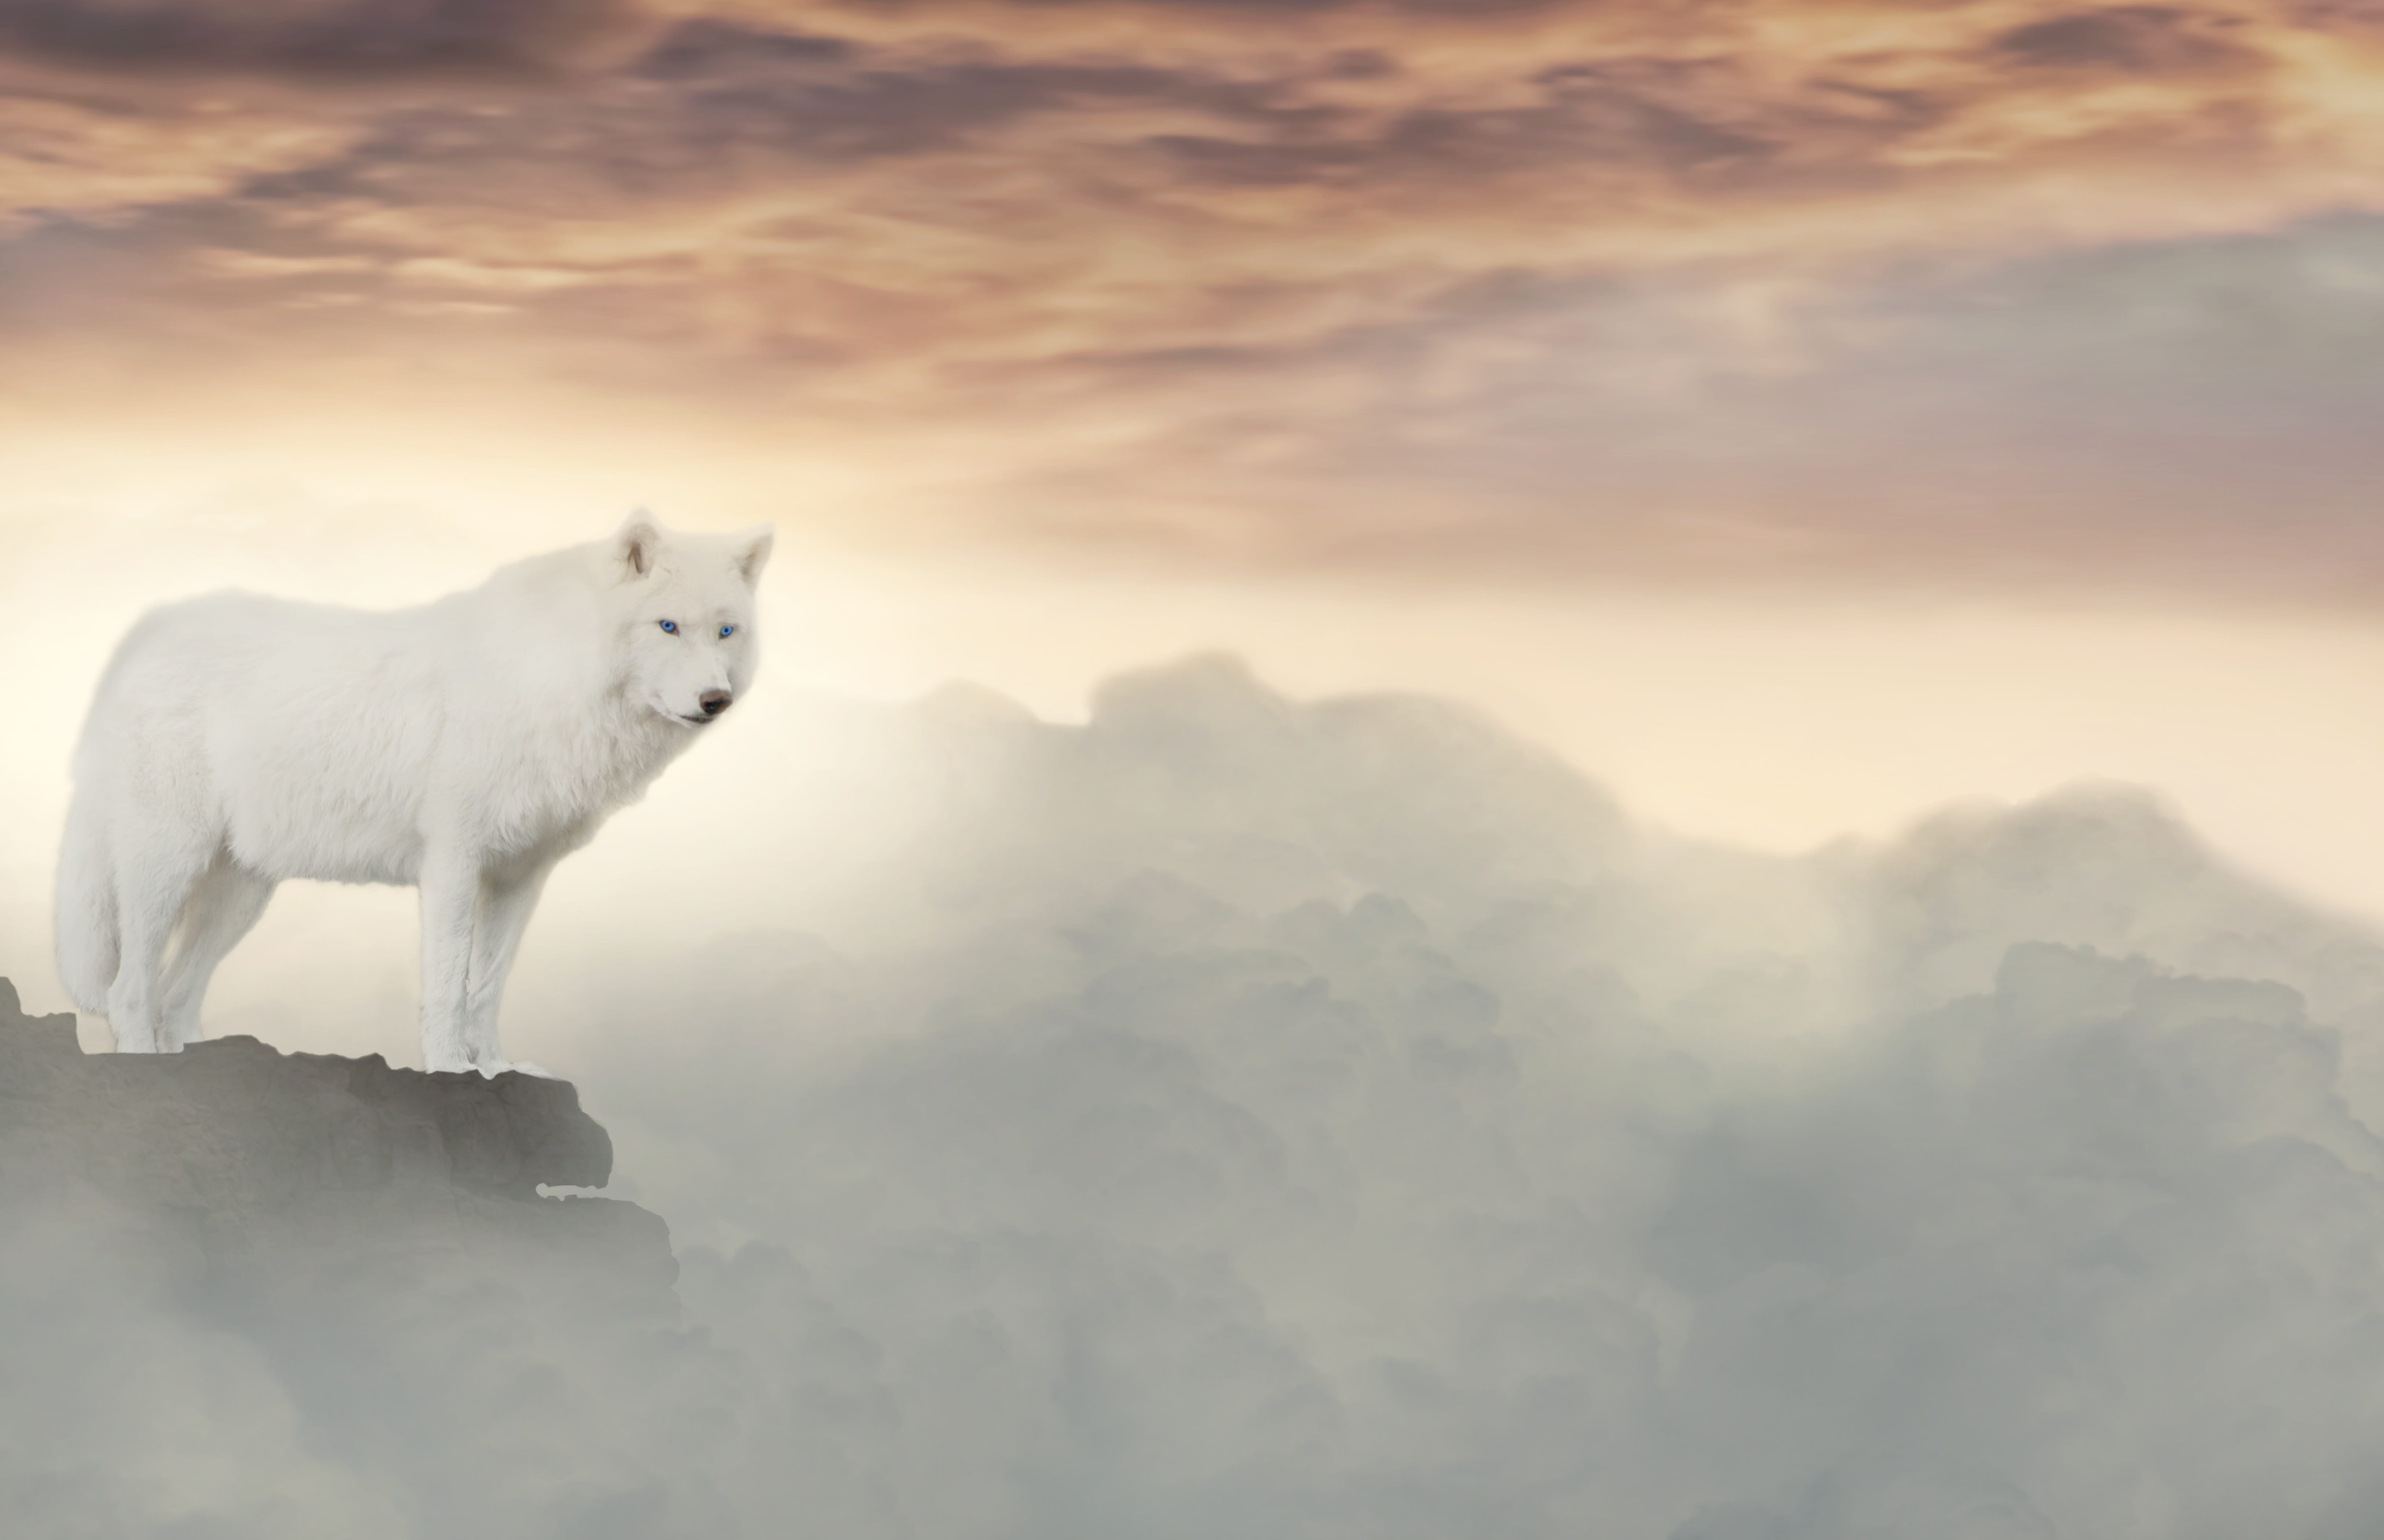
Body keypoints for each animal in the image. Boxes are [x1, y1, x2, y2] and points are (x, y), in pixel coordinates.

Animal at [54, 513, 772, 1075]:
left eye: (726, 632)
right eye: (668, 626)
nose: (716, 700)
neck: (550, 678)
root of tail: (141, 637)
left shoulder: (520, 876)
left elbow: (488, 988)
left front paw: (496, 1068)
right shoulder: (453, 864)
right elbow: (448, 987)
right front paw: (451, 1069)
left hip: (241, 897)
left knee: (176, 996)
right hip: (166, 869)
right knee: (129, 991)